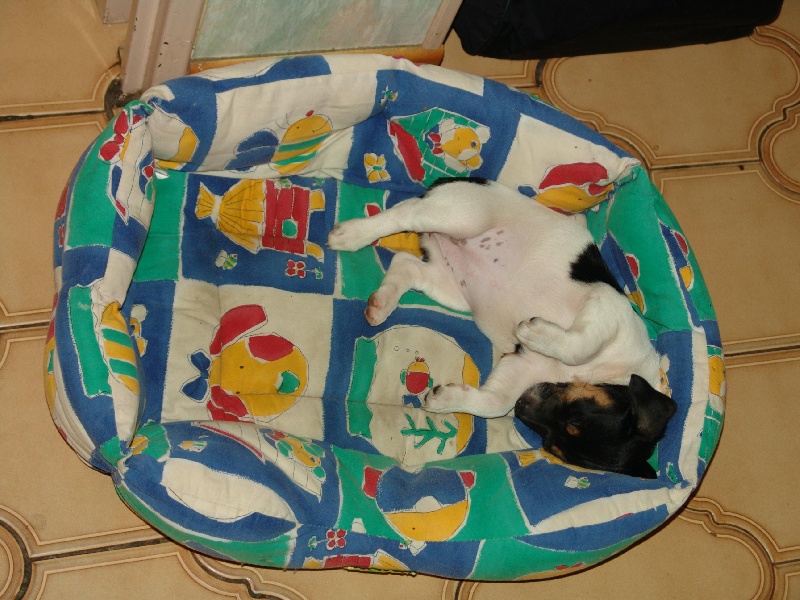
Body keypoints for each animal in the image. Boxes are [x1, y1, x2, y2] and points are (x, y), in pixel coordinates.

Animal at [327, 178, 676, 478]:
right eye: (577, 414)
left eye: (554, 447)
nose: (523, 409)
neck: (604, 374)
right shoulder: (607, 306)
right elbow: (579, 346)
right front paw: (534, 331)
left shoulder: (523, 366)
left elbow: (494, 402)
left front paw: (446, 399)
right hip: (459, 214)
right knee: (405, 213)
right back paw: (351, 235)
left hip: (449, 286)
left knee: (405, 263)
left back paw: (382, 302)